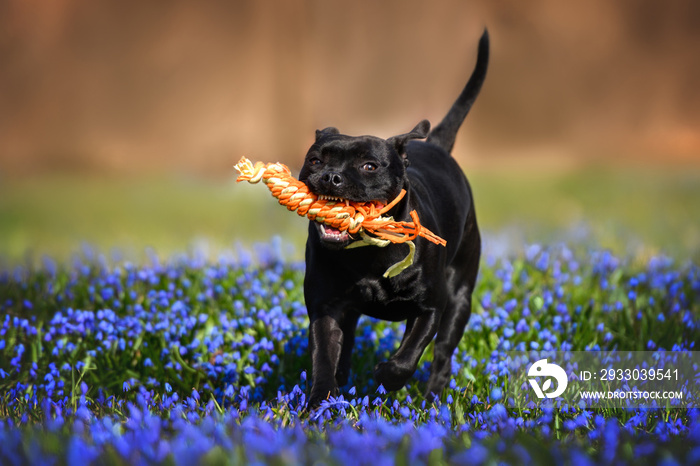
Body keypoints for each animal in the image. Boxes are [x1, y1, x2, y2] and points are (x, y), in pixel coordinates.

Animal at [298, 30, 490, 408]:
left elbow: (408, 357)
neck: (367, 254)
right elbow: (324, 356)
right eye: (315, 160)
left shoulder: (430, 307)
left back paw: (432, 399)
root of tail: (438, 147)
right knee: (345, 349)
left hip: (460, 299)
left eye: (369, 165)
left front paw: (386, 375)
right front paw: (321, 402)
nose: (330, 177)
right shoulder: (326, 306)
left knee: (442, 356)